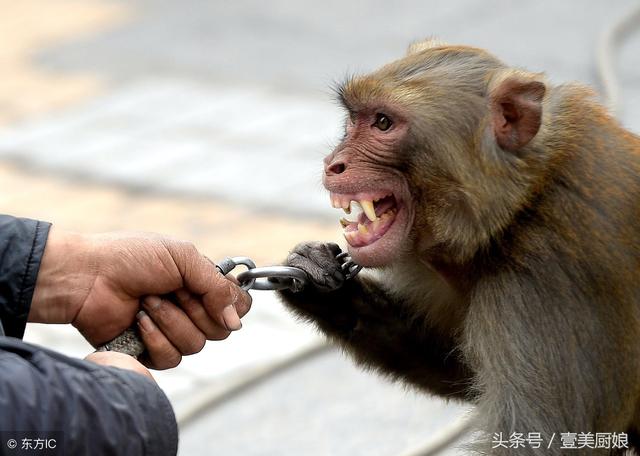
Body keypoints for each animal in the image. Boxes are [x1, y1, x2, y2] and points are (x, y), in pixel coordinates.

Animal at [278, 40, 640, 456]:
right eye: (354, 119)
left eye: (383, 123)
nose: (333, 164)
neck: (520, 207)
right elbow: (460, 368)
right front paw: (318, 279)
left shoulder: (547, 280)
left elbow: (538, 437)